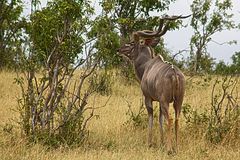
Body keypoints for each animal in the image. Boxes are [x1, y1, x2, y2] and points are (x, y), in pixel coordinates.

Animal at [117, 15, 189, 154]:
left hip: (166, 101)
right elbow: (160, 118)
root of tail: (175, 74)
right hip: (178, 101)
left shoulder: (148, 98)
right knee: (177, 119)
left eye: (132, 43)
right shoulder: (160, 101)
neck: (146, 66)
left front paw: (149, 143)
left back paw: (169, 149)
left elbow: (151, 116)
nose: (119, 49)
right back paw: (176, 147)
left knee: (169, 119)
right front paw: (161, 142)